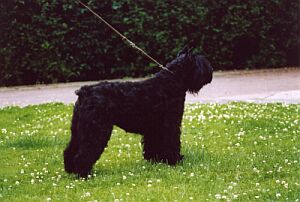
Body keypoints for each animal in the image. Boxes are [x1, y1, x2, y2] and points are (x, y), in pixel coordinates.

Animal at [63, 47, 213, 177]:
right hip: (95, 130)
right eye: (201, 63)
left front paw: (155, 160)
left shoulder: (154, 128)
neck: (172, 81)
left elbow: (153, 145)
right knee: (84, 152)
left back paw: (71, 170)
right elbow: (172, 142)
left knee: (70, 150)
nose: (211, 71)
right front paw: (175, 160)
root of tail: (84, 91)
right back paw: (84, 173)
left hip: (79, 130)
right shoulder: (170, 125)